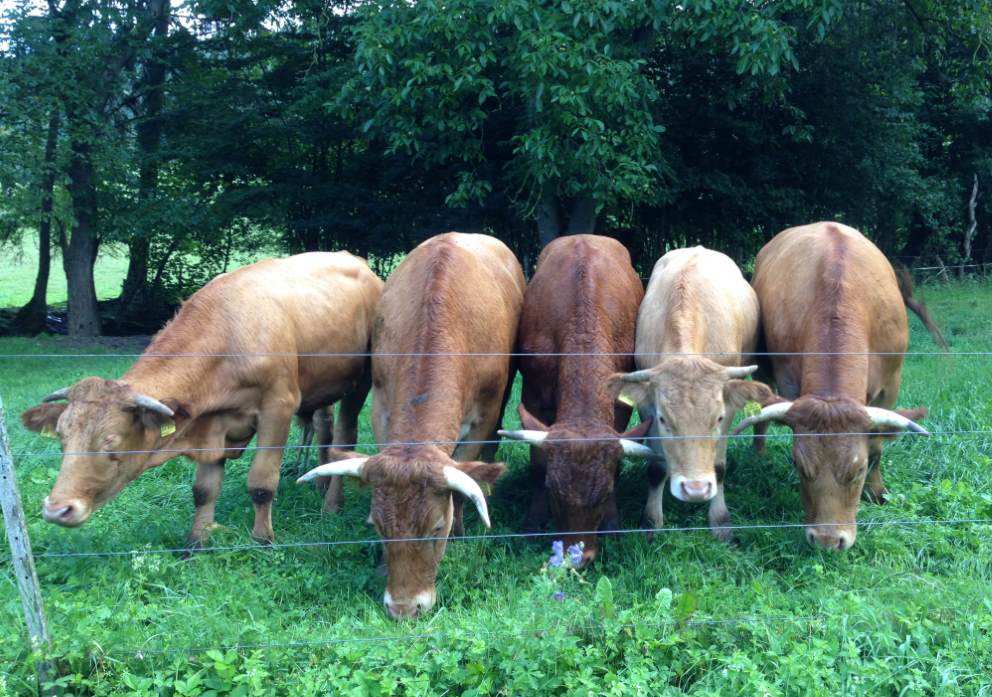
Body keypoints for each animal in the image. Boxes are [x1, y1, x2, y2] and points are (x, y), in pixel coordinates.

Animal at [20, 253, 384, 548]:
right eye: (62, 438)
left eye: (111, 442)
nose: (56, 509)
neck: (229, 336)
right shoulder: (212, 421)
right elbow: (203, 490)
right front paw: (196, 542)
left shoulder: (277, 408)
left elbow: (262, 483)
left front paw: (263, 539)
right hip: (323, 387)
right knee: (324, 429)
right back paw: (321, 484)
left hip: (360, 382)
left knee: (344, 435)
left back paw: (331, 504)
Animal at [296, 231, 524, 616]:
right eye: (377, 525)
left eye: (436, 528)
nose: (404, 608)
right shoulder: (382, 405)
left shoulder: (486, 413)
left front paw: (460, 532)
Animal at [496, 235, 652, 564]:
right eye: (554, 492)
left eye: (604, 494)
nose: (577, 558)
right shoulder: (533, 394)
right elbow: (538, 464)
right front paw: (533, 522)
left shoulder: (620, 402)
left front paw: (612, 525)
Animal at [604, 247, 784, 540]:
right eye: (664, 419)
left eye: (718, 418)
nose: (695, 489)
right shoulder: (648, 407)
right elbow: (656, 468)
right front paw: (651, 523)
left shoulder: (729, 406)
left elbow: (719, 467)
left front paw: (721, 522)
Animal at [732, 223, 940, 548]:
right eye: (799, 465)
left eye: (858, 469)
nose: (827, 540)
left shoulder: (890, 385)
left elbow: (877, 445)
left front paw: (876, 490)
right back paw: (758, 455)